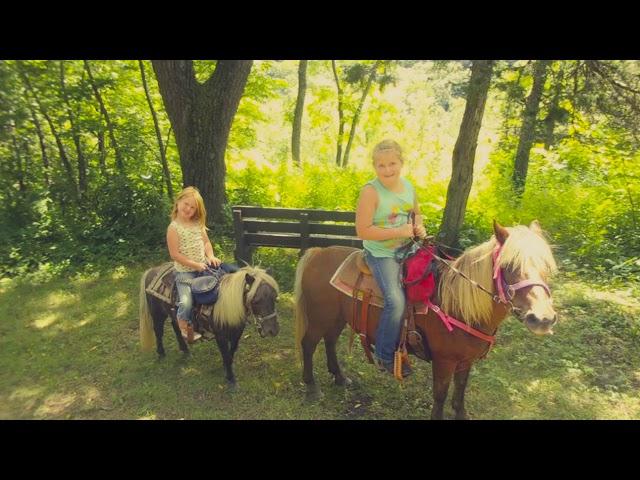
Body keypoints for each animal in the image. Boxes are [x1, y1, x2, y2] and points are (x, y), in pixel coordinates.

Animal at [294, 219, 556, 418]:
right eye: (509, 266)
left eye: (546, 266)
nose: (542, 318)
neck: (457, 304)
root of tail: (317, 253)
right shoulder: (444, 361)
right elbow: (440, 395)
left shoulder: (466, 361)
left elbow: (459, 395)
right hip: (319, 317)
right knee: (308, 344)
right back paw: (311, 387)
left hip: (336, 317)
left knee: (329, 341)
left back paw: (339, 377)